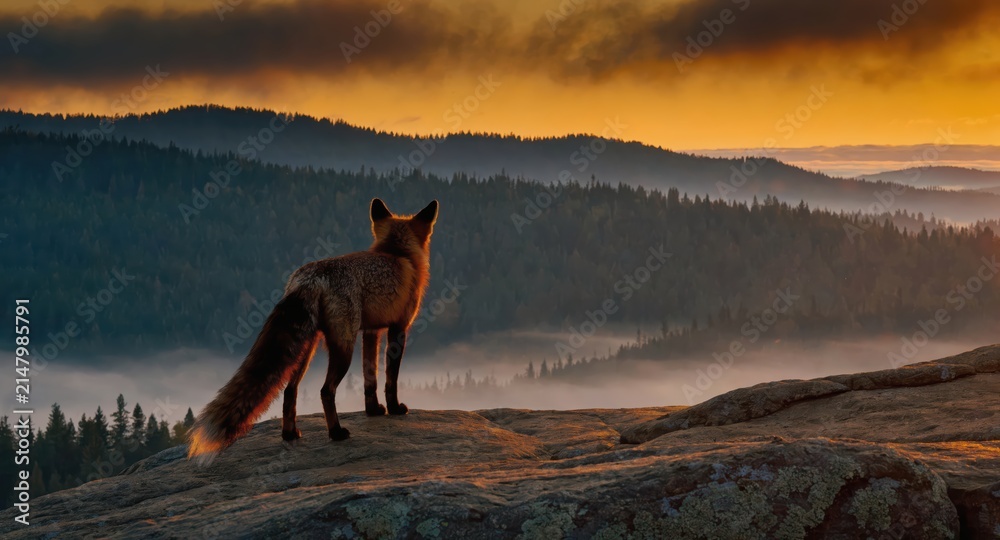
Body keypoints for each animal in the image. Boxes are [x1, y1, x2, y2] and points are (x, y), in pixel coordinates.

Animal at [187, 198, 438, 460]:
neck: (397, 253)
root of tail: (309, 277)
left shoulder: (371, 332)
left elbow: (370, 377)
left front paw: (373, 410)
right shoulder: (398, 328)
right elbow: (391, 378)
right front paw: (394, 408)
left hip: (305, 350)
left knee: (289, 391)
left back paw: (289, 434)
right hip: (342, 349)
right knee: (326, 391)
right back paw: (336, 432)